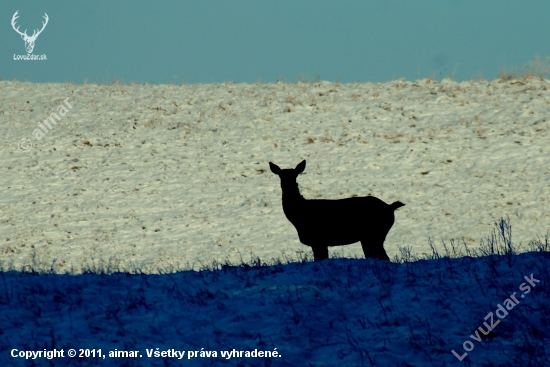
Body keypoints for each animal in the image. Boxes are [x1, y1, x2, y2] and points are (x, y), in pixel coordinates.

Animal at [270, 160, 408, 262]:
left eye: (295, 176)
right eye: (281, 176)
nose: (288, 186)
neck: (299, 217)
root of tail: (390, 207)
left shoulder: (319, 240)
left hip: (376, 234)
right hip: (369, 237)